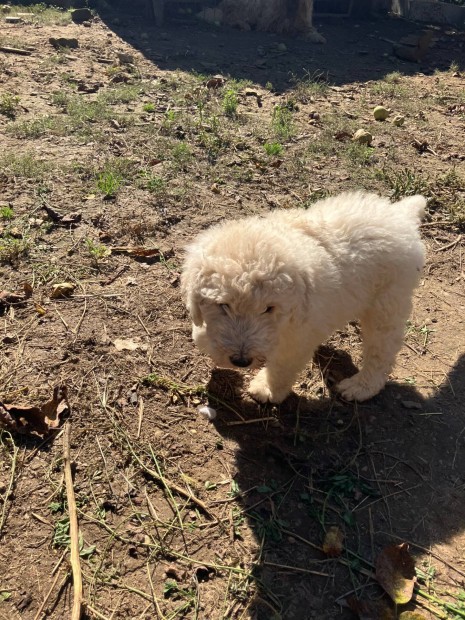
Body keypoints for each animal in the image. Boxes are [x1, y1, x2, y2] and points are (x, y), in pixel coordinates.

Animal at [180, 193, 424, 402]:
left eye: (268, 309)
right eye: (223, 305)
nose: (241, 361)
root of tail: (401, 215)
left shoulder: (295, 339)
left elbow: (281, 367)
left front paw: (266, 389)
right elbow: (202, 334)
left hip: (388, 303)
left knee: (382, 349)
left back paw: (360, 387)